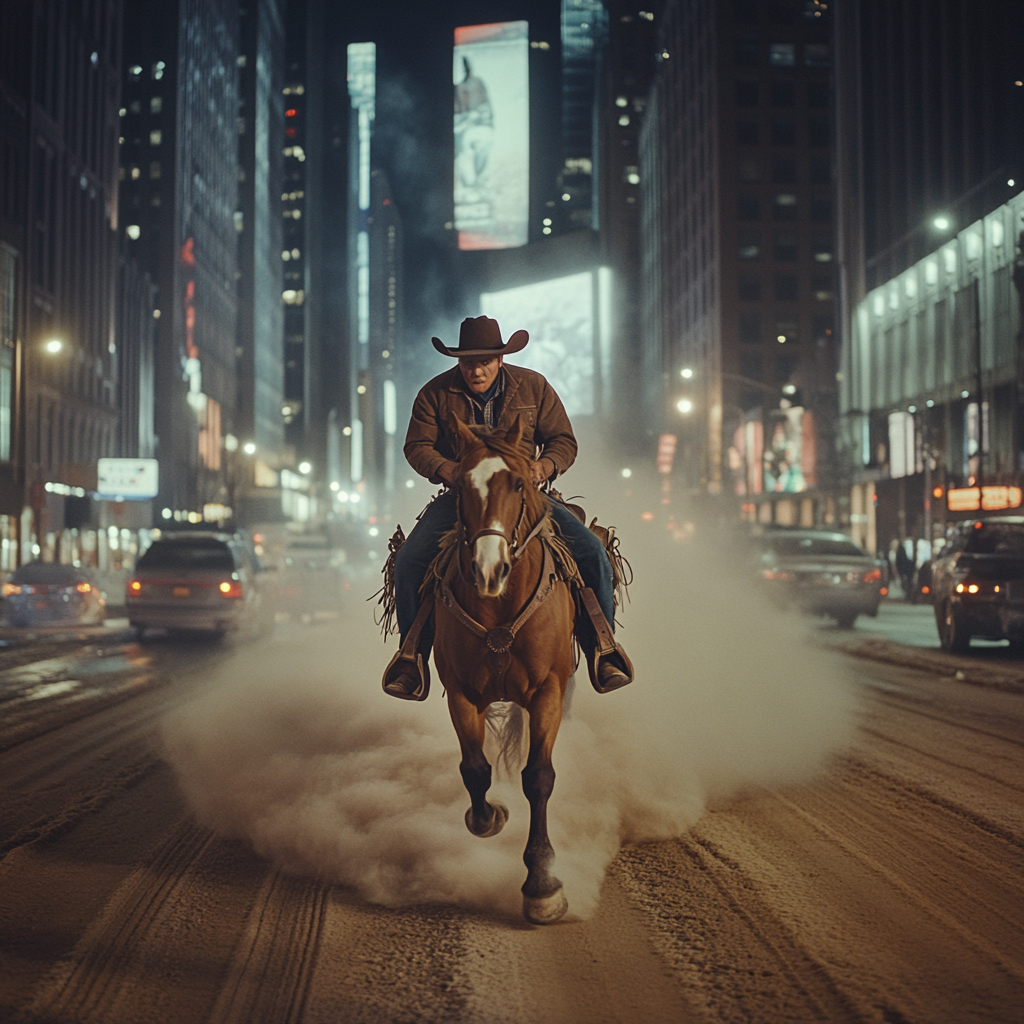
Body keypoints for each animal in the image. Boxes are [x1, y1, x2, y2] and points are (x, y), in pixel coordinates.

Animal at [432, 411, 577, 925]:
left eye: (518, 483)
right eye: (460, 485)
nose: (488, 570)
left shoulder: (549, 691)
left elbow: (538, 777)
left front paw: (542, 886)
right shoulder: (460, 692)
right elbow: (475, 769)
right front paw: (489, 817)